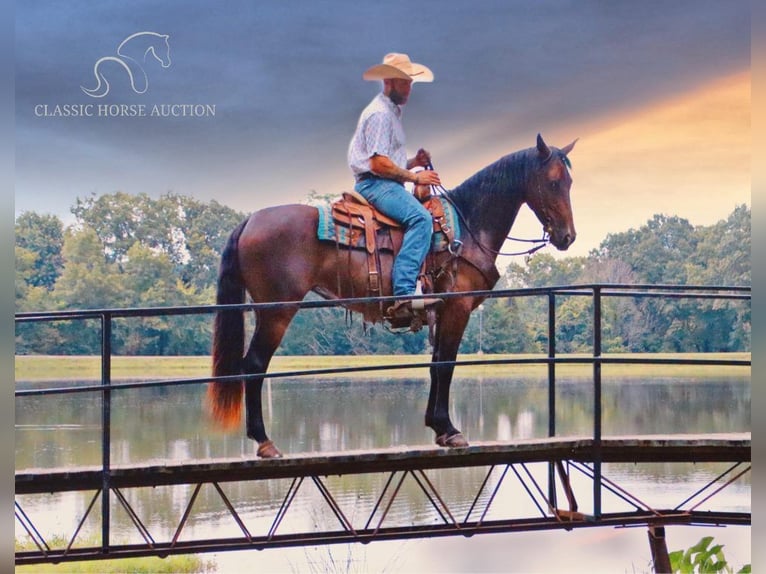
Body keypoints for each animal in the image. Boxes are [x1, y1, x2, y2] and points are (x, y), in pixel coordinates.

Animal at [207, 134, 580, 460]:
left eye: (571, 183)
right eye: (553, 182)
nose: (568, 237)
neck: (467, 227)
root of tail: (250, 220)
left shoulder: (440, 310)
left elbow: (435, 365)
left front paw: (437, 427)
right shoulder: (457, 307)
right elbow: (445, 364)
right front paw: (450, 430)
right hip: (276, 312)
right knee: (254, 365)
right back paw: (264, 441)